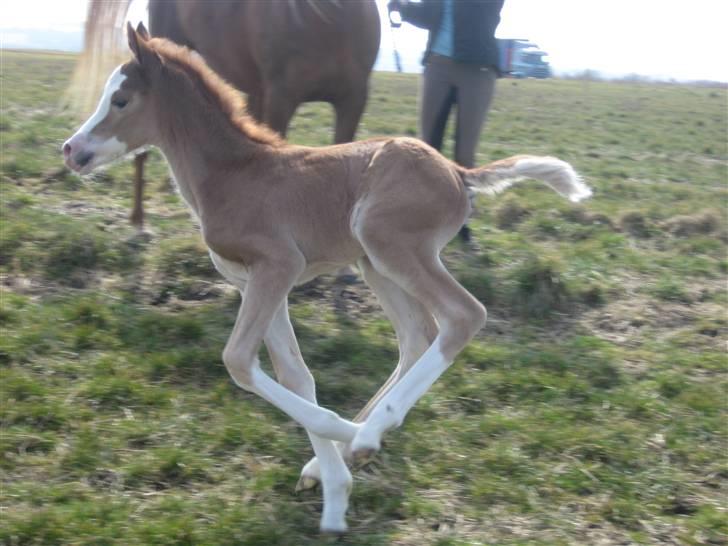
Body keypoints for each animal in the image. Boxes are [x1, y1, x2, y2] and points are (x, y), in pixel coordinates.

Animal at [62, 25, 592, 532]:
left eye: (121, 99)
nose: (71, 149)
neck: (232, 174)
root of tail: (459, 172)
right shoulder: (255, 282)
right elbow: (295, 374)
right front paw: (334, 485)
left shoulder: (278, 266)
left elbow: (238, 361)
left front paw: (340, 444)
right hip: (374, 262)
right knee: (416, 335)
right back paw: (360, 438)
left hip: (389, 243)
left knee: (463, 316)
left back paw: (369, 432)